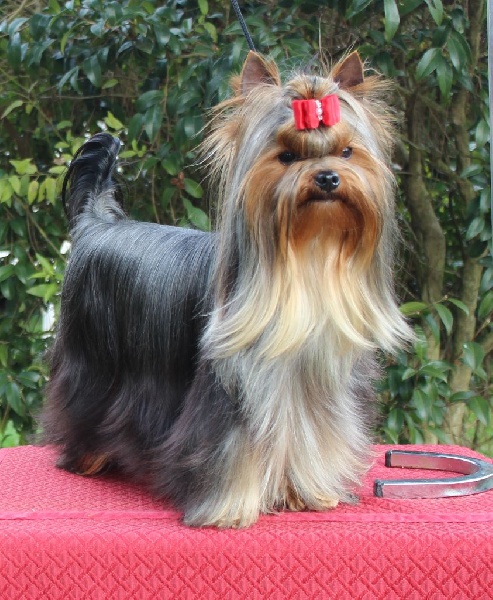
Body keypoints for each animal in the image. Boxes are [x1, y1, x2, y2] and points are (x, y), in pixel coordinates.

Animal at [41, 51, 411, 528]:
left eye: (347, 151)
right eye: (286, 156)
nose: (329, 178)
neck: (305, 258)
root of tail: (96, 223)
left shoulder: (318, 381)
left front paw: (309, 492)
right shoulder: (227, 393)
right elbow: (231, 449)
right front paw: (230, 507)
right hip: (91, 363)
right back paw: (87, 457)